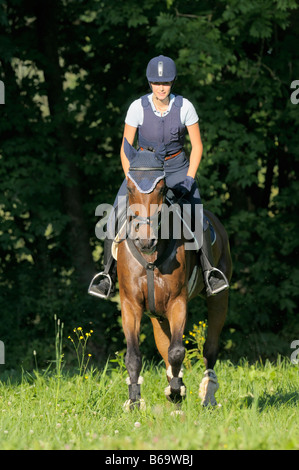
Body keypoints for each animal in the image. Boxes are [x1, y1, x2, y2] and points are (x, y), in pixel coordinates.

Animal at [116, 143, 233, 408]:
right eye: (129, 188)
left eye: (161, 188)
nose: (146, 241)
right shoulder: (131, 304)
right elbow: (134, 356)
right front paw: (134, 402)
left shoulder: (177, 302)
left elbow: (178, 350)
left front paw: (177, 392)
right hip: (156, 314)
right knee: (164, 346)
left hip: (218, 298)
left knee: (210, 348)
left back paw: (207, 394)